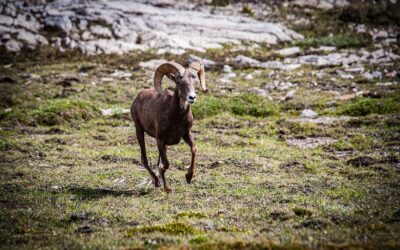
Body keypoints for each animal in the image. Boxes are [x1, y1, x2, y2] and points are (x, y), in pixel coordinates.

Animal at [130, 61, 206, 193]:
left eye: (195, 81)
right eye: (179, 82)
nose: (192, 97)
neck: (176, 118)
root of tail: (138, 98)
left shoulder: (186, 134)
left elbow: (194, 150)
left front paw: (189, 177)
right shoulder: (160, 140)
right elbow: (165, 164)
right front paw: (167, 189)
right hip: (139, 130)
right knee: (144, 159)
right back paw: (156, 181)